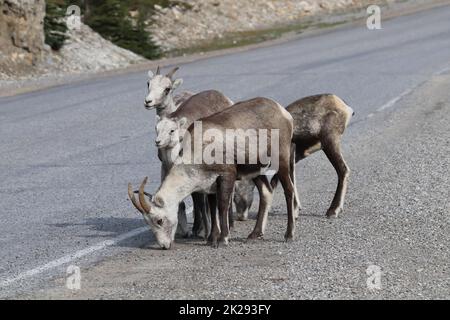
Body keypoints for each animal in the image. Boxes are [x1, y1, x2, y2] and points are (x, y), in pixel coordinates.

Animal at [126, 97, 298, 248]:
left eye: (159, 220)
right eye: (147, 222)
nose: (164, 245)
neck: (200, 146)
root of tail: (283, 113)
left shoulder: (227, 176)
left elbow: (222, 206)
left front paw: (223, 240)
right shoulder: (210, 185)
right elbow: (212, 207)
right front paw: (211, 239)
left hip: (281, 161)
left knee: (289, 190)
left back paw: (289, 235)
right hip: (257, 172)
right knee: (266, 192)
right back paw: (254, 234)